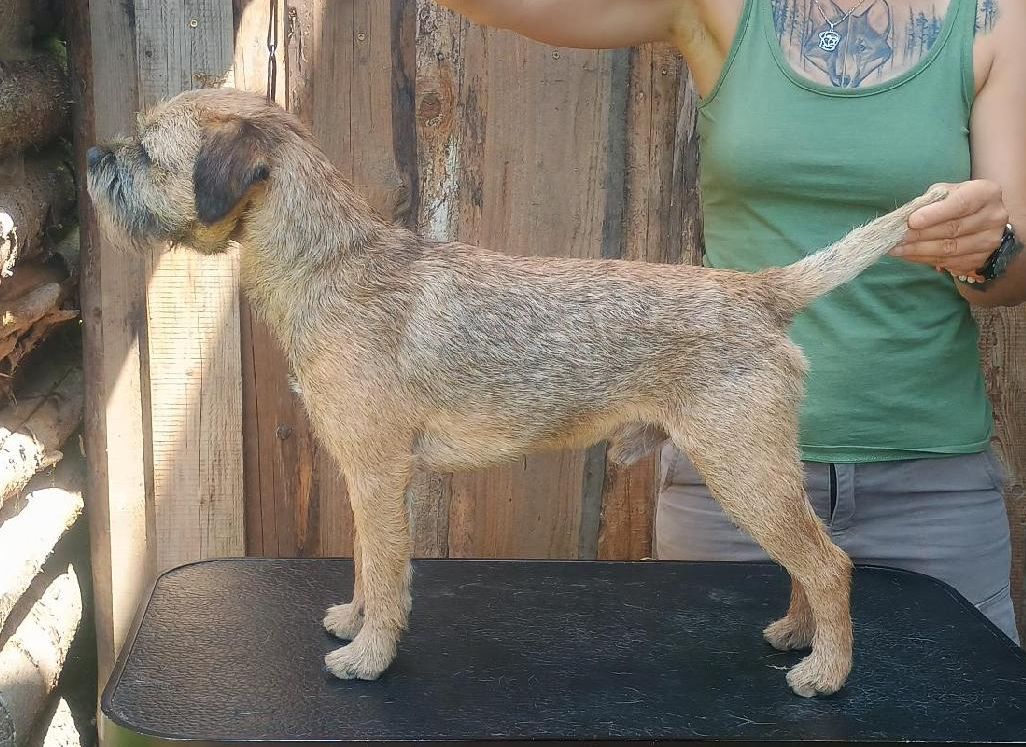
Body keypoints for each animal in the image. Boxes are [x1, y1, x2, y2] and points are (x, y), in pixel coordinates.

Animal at [86, 87, 944, 698]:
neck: (330, 262)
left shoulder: (378, 472)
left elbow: (388, 569)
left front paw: (369, 654)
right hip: (759, 472)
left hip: (743, 469)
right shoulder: (367, 474)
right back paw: (799, 634)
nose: (95, 152)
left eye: (147, 149)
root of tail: (760, 292)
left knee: (830, 563)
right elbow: (366, 560)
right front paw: (355, 621)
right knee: (807, 557)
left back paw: (827, 670)